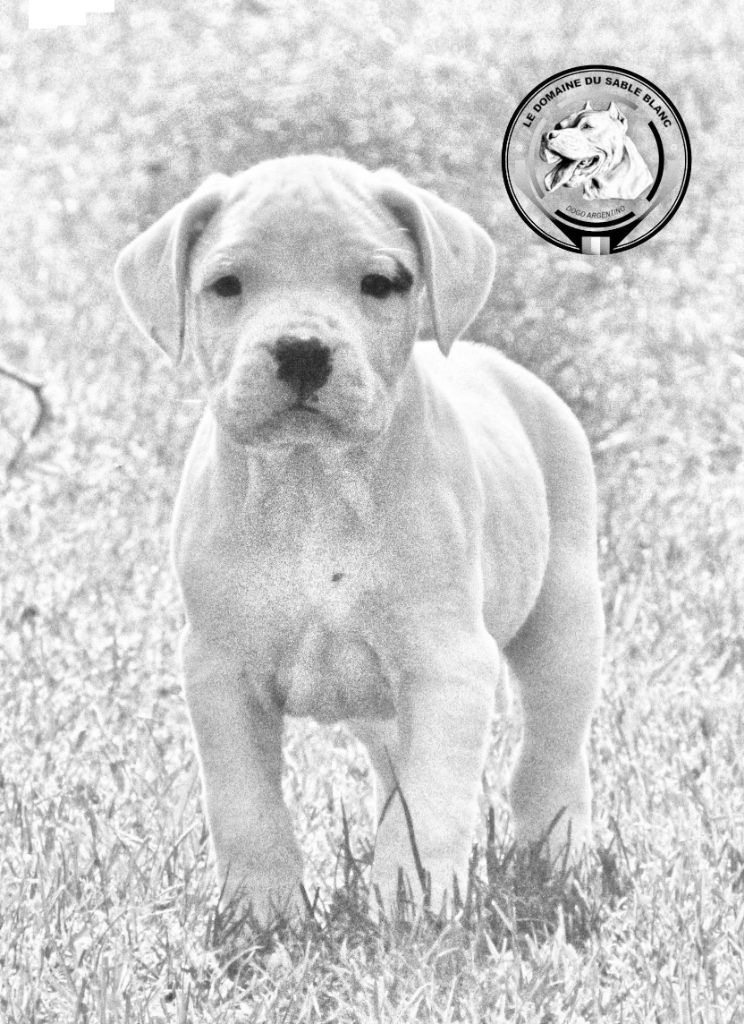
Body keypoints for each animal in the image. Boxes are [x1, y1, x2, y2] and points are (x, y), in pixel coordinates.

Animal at [115, 155, 603, 923]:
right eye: (226, 285)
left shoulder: (446, 665)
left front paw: (414, 910)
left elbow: (431, 806)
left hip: (564, 625)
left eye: (381, 283)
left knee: (550, 754)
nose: (302, 349)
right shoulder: (220, 674)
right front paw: (261, 915)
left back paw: (559, 861)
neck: (312, 481)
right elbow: (246, 807)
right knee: (393, 767)